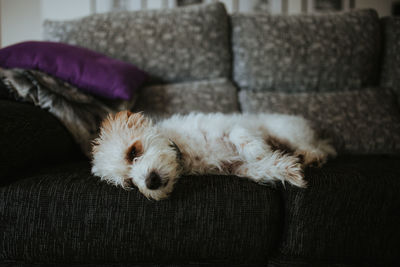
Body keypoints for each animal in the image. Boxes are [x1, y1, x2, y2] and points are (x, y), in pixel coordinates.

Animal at [90, 111, 334, 201]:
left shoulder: (231, 126)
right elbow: (263, 167)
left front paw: (259, 150)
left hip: (286, 131)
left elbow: (241, 137)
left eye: (132, 152)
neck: (185, 151)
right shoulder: (237, 168)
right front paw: (290, 171)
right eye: (130, 182)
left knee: (314, 147)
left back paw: (310, 155)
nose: (151, 182)